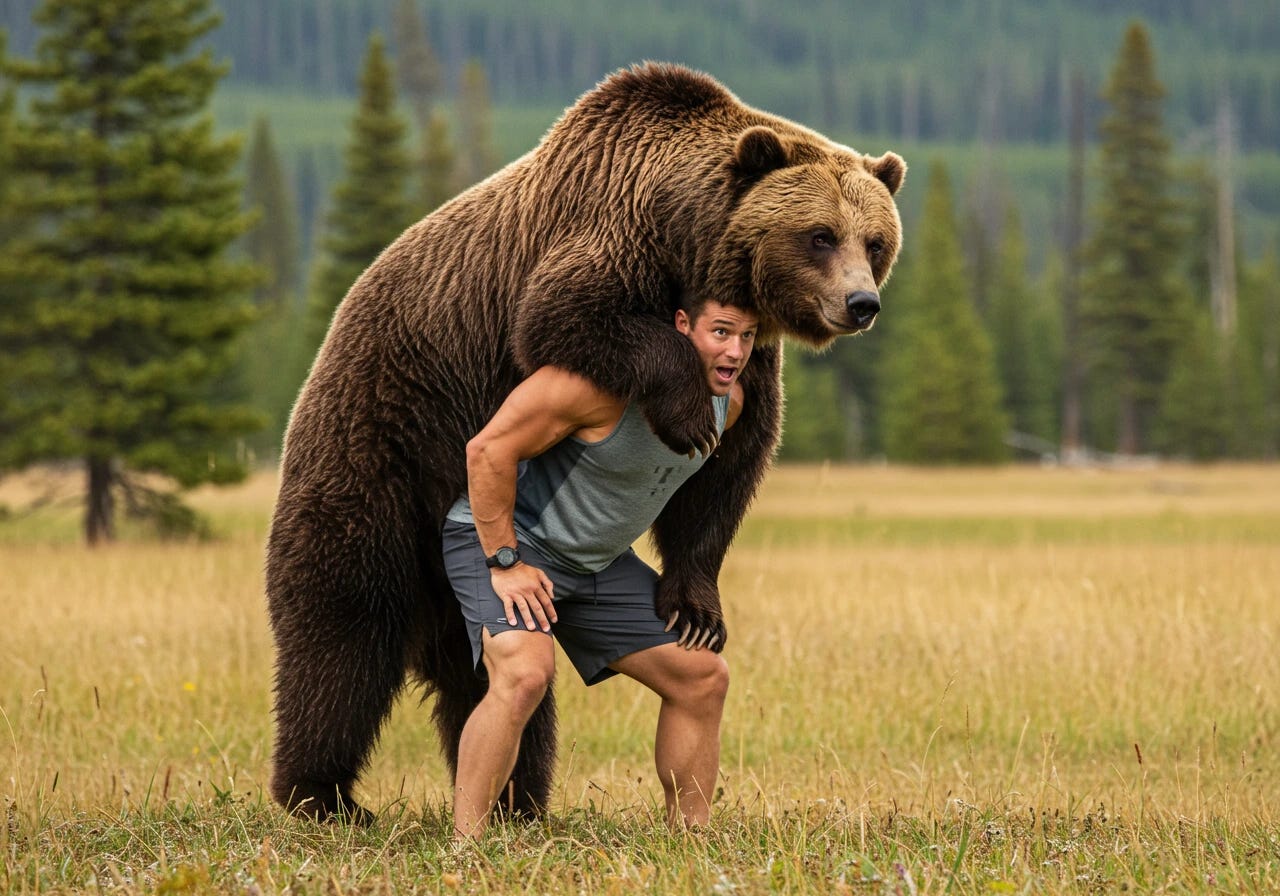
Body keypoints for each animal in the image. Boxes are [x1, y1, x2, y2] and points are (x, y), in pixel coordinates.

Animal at [266, 62, 905, 824]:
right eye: (819, 234)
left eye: (875, 241)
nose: (861, 303)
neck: (685, 243)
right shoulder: (603, 242)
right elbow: (564, 317)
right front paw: (684, 412)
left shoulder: (750, 369)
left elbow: (726, 476)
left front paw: (695, 608)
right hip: (383, 441)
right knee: (342, 622)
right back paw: (322, 792)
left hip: (464, 584)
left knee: (486, 679)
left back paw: (517, 798)